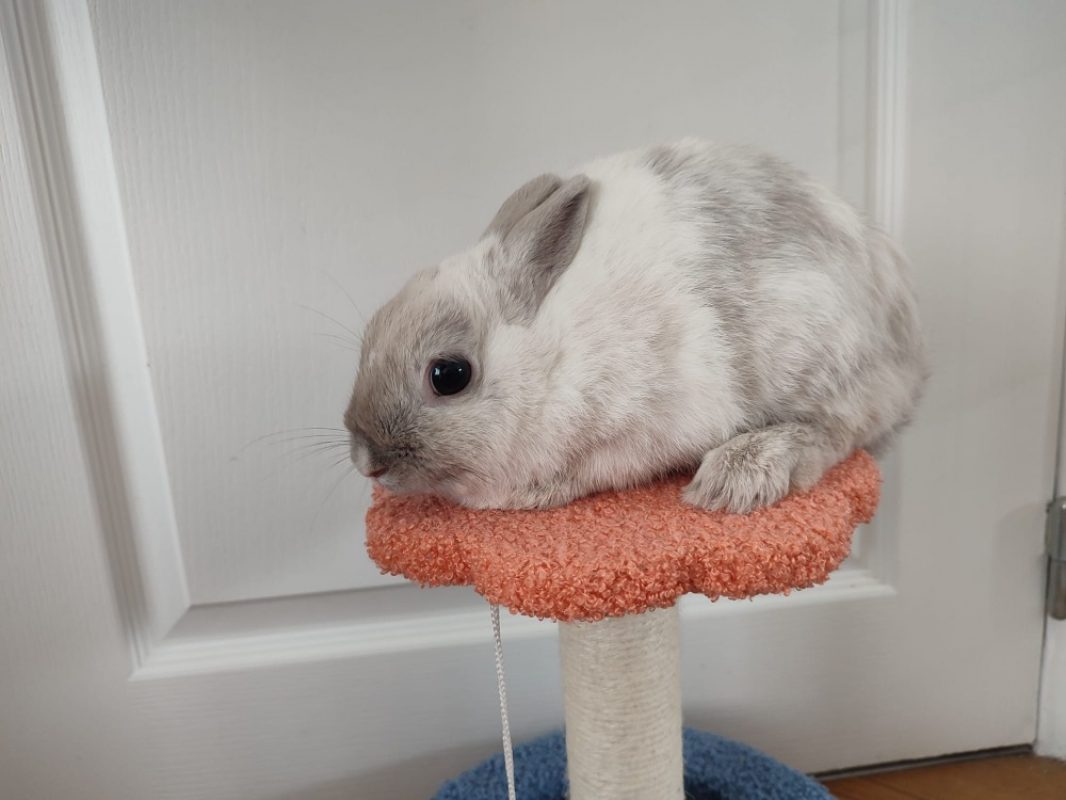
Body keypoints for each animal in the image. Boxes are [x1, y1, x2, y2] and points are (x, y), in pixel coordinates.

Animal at [344, 138, 927, 513]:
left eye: (449, 375)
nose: (366, 462)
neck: (555, 355)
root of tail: (906, 352)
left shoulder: (638, 429)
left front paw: (527, 495)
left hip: (820, 354)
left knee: (837, 432)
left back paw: (738, 476)